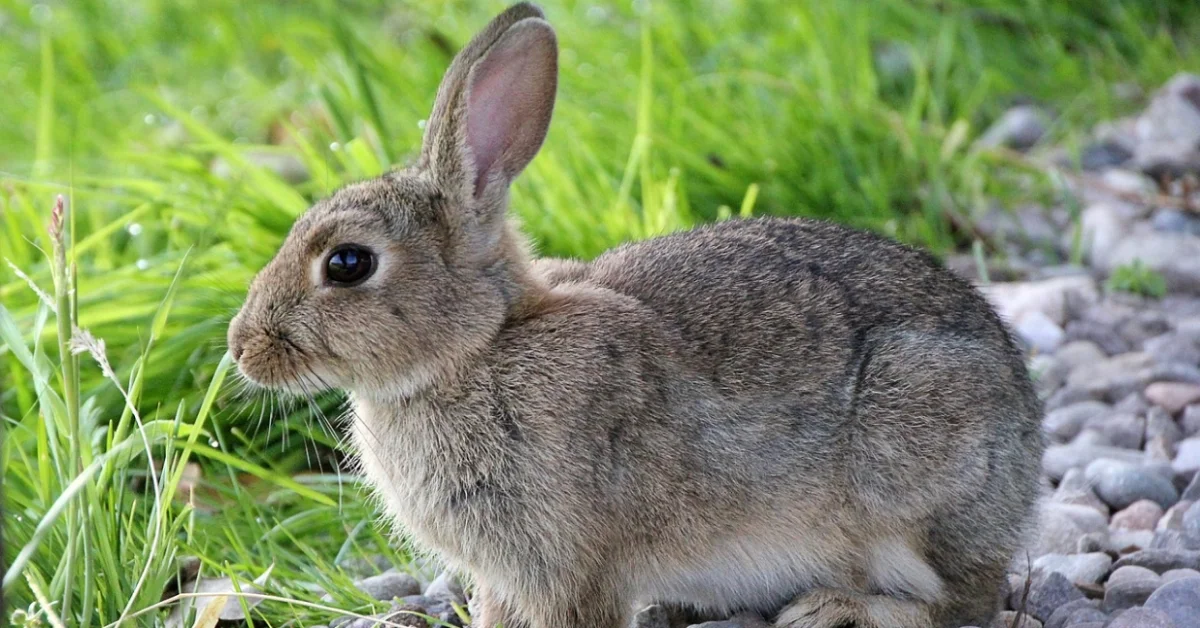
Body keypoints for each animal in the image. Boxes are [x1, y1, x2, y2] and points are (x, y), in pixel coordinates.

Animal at [227, 3, 1044, 627]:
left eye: (348, 264)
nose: (241, 347)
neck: (479, 348)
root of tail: (1028, 443)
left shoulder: (571, 561)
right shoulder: (507, 571)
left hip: (914, 468)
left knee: (966, 600)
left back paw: (837, 609)